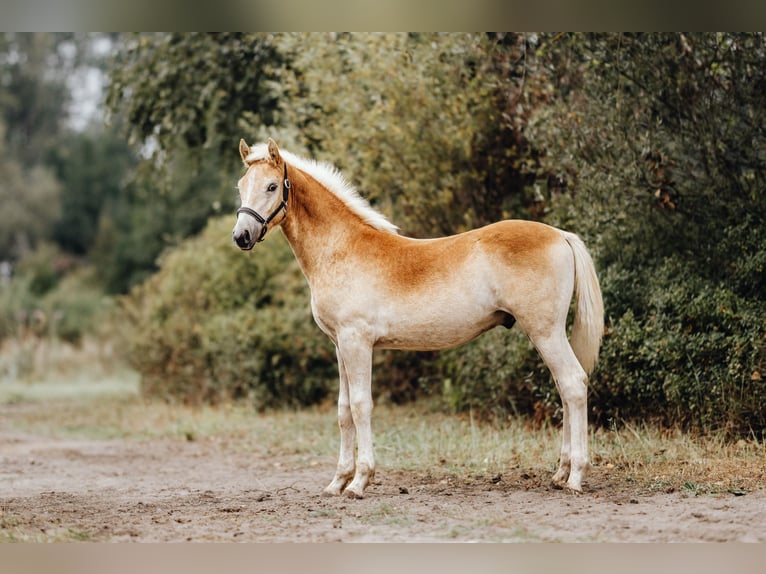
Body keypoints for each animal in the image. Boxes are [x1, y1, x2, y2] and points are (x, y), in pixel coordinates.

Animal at [231, 140, 604, 500]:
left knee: (573, 384)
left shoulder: (357, 342)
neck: (341, 248)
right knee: (563, 389)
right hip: (546, 335)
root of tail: (560, 234)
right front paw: (337, 482)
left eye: (272, 186)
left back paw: (575, 477)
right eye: (241, 186)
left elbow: (361, 406)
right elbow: (343, 411)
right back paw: (560, 474)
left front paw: (359, 482)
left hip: (545, 332)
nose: (241, 236)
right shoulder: (340, 345)